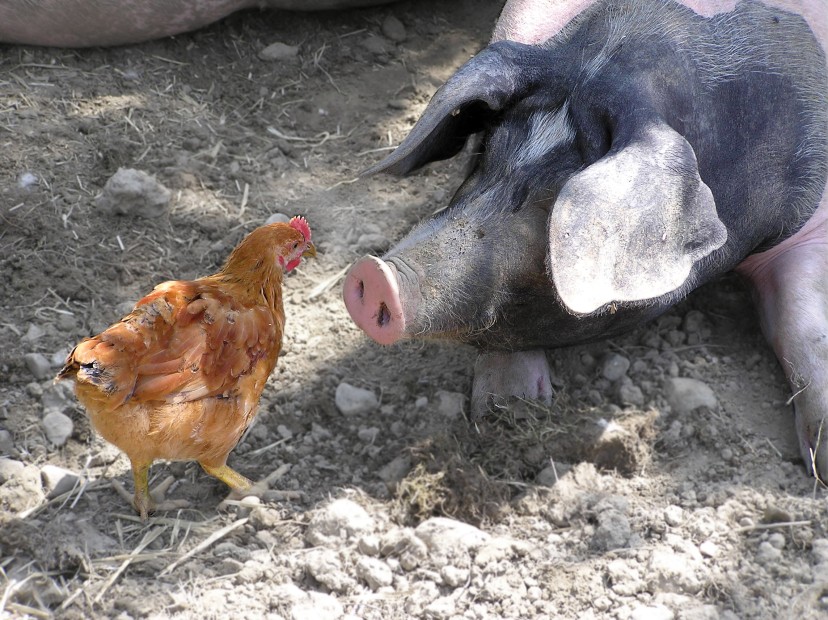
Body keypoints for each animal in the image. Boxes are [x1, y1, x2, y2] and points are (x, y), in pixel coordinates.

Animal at [344, 0, 828, 480]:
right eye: (484, 153)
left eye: (557, 201)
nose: (375, 272)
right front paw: (506, 408)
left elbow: (804, 320)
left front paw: (818, 468)